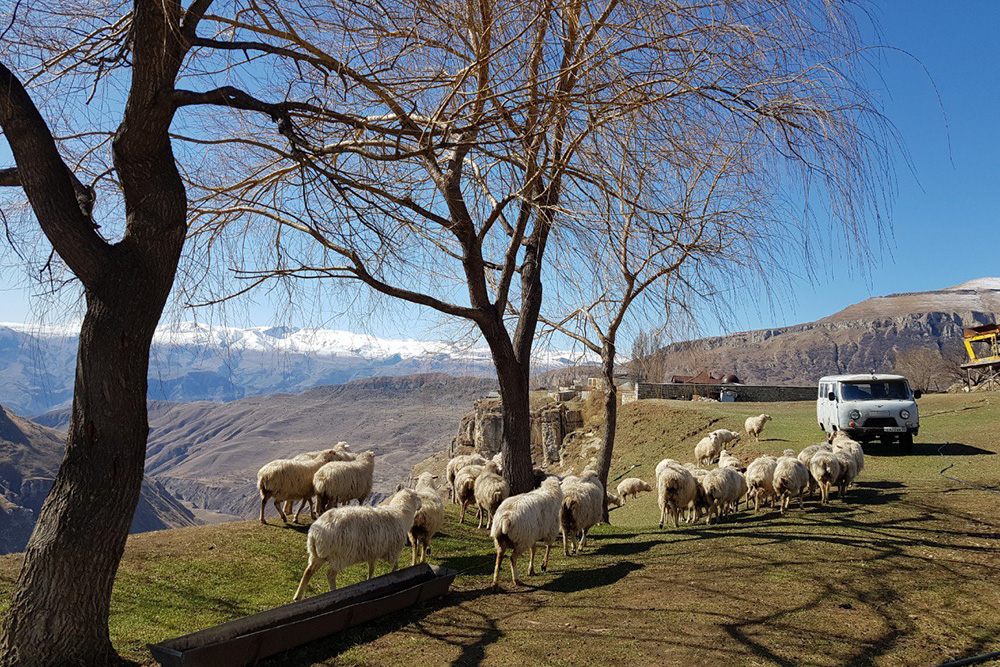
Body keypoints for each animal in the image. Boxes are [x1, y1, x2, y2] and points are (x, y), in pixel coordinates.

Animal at [290, 486, 422, 600]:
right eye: (418, 497)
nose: (421, 506)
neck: (401, 515)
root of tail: (315, 534)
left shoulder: (372, 552)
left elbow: (371, 569)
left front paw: (369, 580)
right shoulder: (393, 551)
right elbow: (396, 565)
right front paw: (393, 573)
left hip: (317, 555)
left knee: (308, 572)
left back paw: (297, 596)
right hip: (339, 556)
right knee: (330, 574)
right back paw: (333, 591)